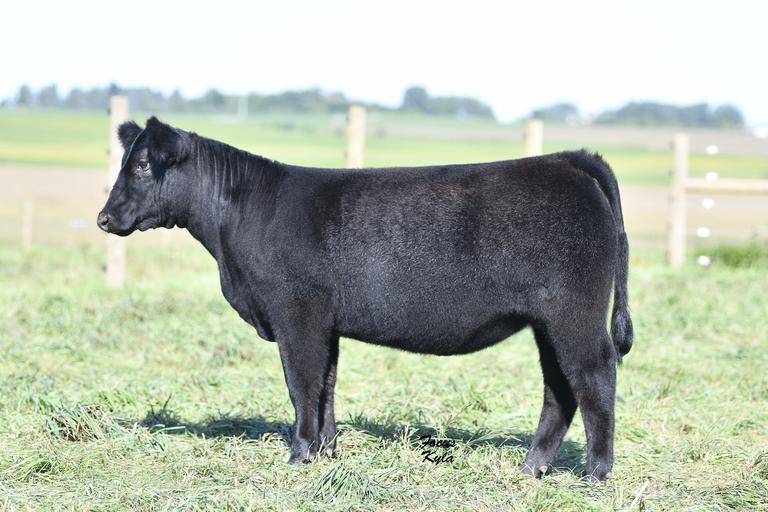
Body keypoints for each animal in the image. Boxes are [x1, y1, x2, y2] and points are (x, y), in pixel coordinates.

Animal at [97, 117, 633, 482]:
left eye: (141, 165)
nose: (104, 218)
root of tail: (567, 159)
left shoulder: (297, 316)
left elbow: (301, 385)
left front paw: (298, 455)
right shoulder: (325, 323)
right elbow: (326, 386)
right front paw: (326, 452)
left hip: (574, 315)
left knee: (594, 376)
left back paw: (596, 475)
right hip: (548, 322)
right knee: (560, 388)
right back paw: (531, 468)